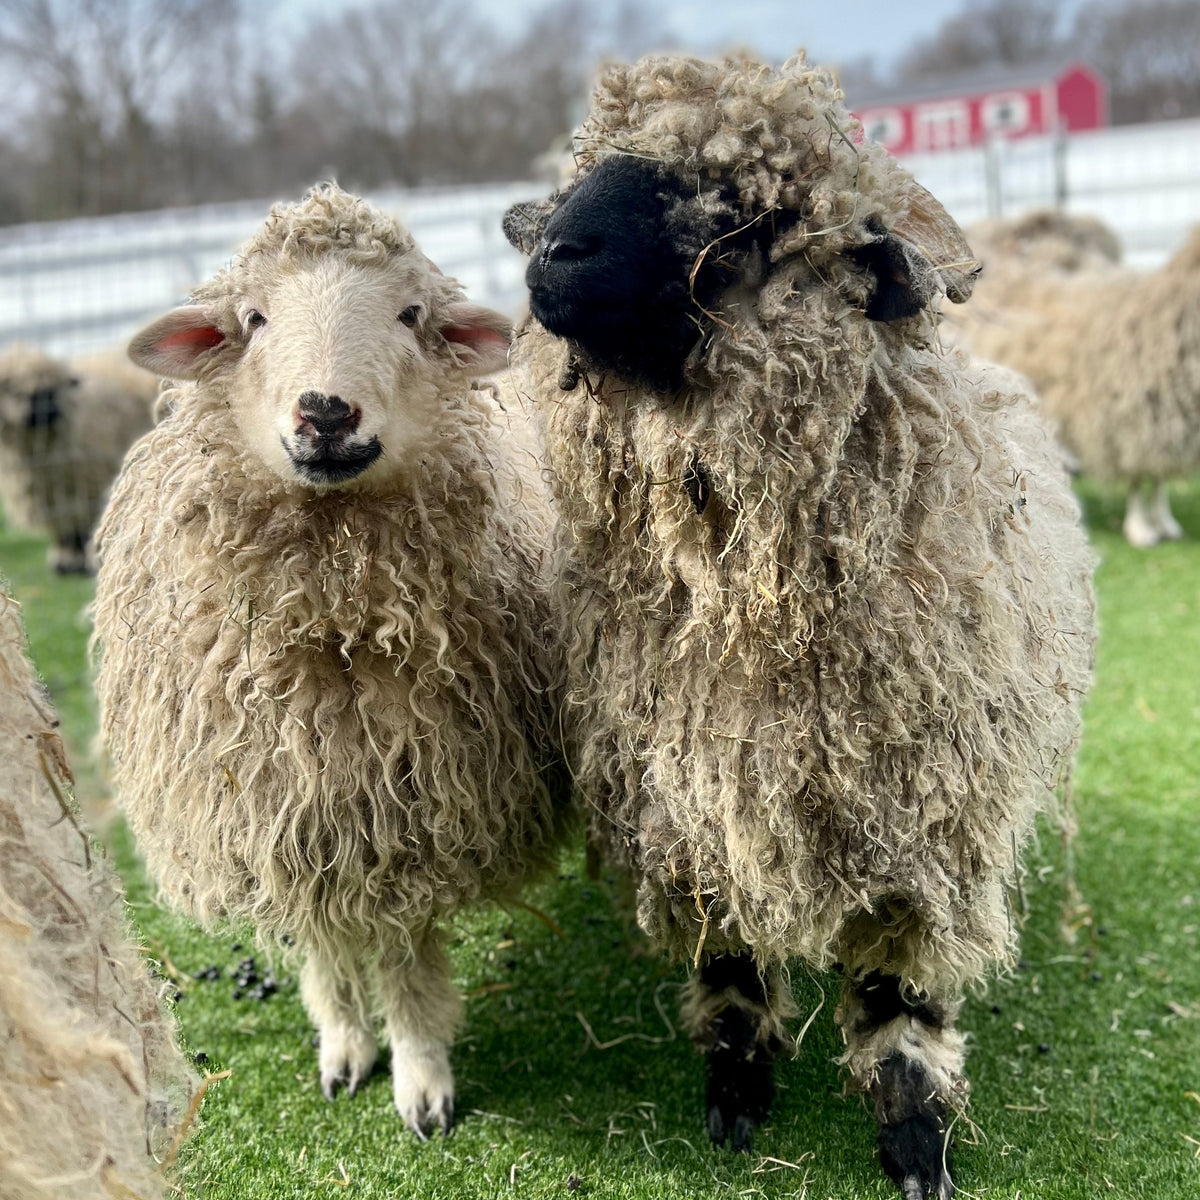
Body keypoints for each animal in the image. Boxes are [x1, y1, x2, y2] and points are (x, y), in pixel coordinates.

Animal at [0, 343, 158, 572]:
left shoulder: (83, 486)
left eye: (55, 389)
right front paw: (64, 560)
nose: (48, 411)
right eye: (11, 387)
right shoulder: (53, 495)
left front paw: (76, 561)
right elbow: (63, 530)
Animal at [91, 184, 570, 1138]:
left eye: (410, 313)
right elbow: (324, 946)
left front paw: (421, 1080)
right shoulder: (286, 802)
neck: (334, 617)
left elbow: (404, 959)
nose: (325, 412)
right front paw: (344, 1049)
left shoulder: (409, 805)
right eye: (254, 316)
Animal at [502, 53, 1096, 1199]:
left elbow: (902, 1002)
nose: (552, 249)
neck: (756, 610)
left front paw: (915, 1139)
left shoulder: (925, 825)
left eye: (753, 211)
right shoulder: (691, 804)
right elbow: (730, 964)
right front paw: (735, 1091)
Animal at [947, 214, 1200, 547]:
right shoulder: (1129, 416)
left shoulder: (1161, 420)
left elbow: (1157, 477)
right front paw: (1140, 528)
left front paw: (1164, 522)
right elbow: (1136, 476)